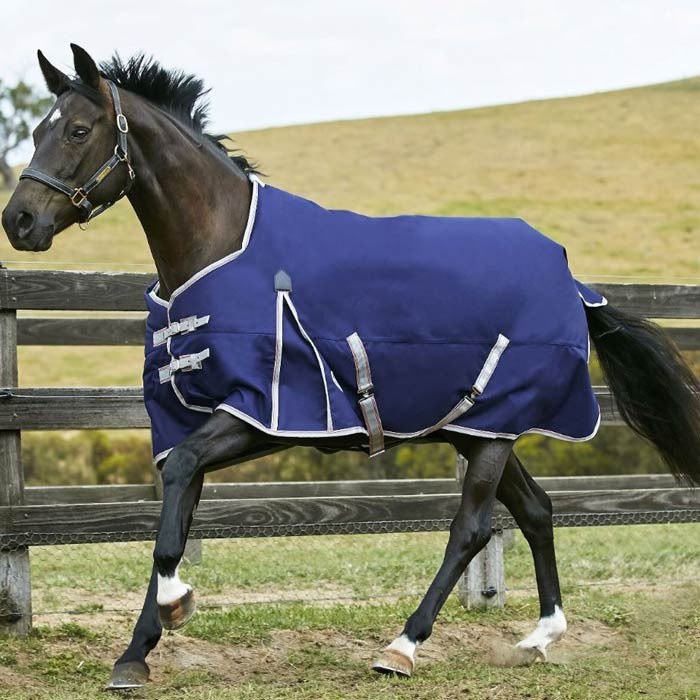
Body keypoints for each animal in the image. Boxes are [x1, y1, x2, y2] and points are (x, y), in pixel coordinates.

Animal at [3, 45, 700, 691]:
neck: (223, 248)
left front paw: (175, 608)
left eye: (78, 131)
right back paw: (540, 636)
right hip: (478, 428)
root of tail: (571, 280)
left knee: (472, 528)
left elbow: (174, 509)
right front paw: (135, 654)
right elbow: (174, 513)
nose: (20, 221)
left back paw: (403, 646)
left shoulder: (259, 414)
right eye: (36, 131)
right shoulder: (192, 422)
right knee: (537, 509)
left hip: (494, 431)